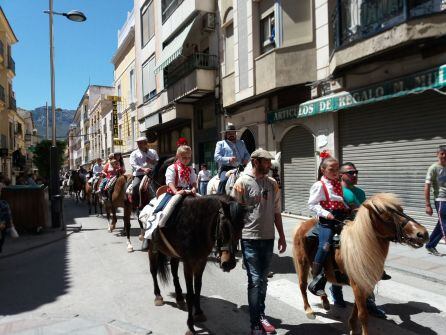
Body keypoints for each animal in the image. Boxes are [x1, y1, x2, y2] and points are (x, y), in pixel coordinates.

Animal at [147, 194, 246, 335]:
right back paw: (158, 296)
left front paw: (198, 312)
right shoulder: (188, 263)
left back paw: (179, 297)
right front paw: (190, 326)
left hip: (174, 253)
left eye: (242, 226)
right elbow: (190, 294)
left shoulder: (201, 261)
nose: (229, 264)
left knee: (174, 271)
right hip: (152, 248)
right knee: (154, 271)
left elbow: (198, 288)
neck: (197, 227)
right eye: (224, 225)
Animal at [292, 194, 428, 335]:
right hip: (302, 263)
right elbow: (363, 314)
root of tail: (302, 224)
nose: (422, 234)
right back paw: (309, 310)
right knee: (302, 285)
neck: (361, 247)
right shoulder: (357, 284)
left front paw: (352, 326)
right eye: (387, 215)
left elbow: (357, 308)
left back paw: (324, 300)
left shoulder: (365, 283)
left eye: (401, 210)